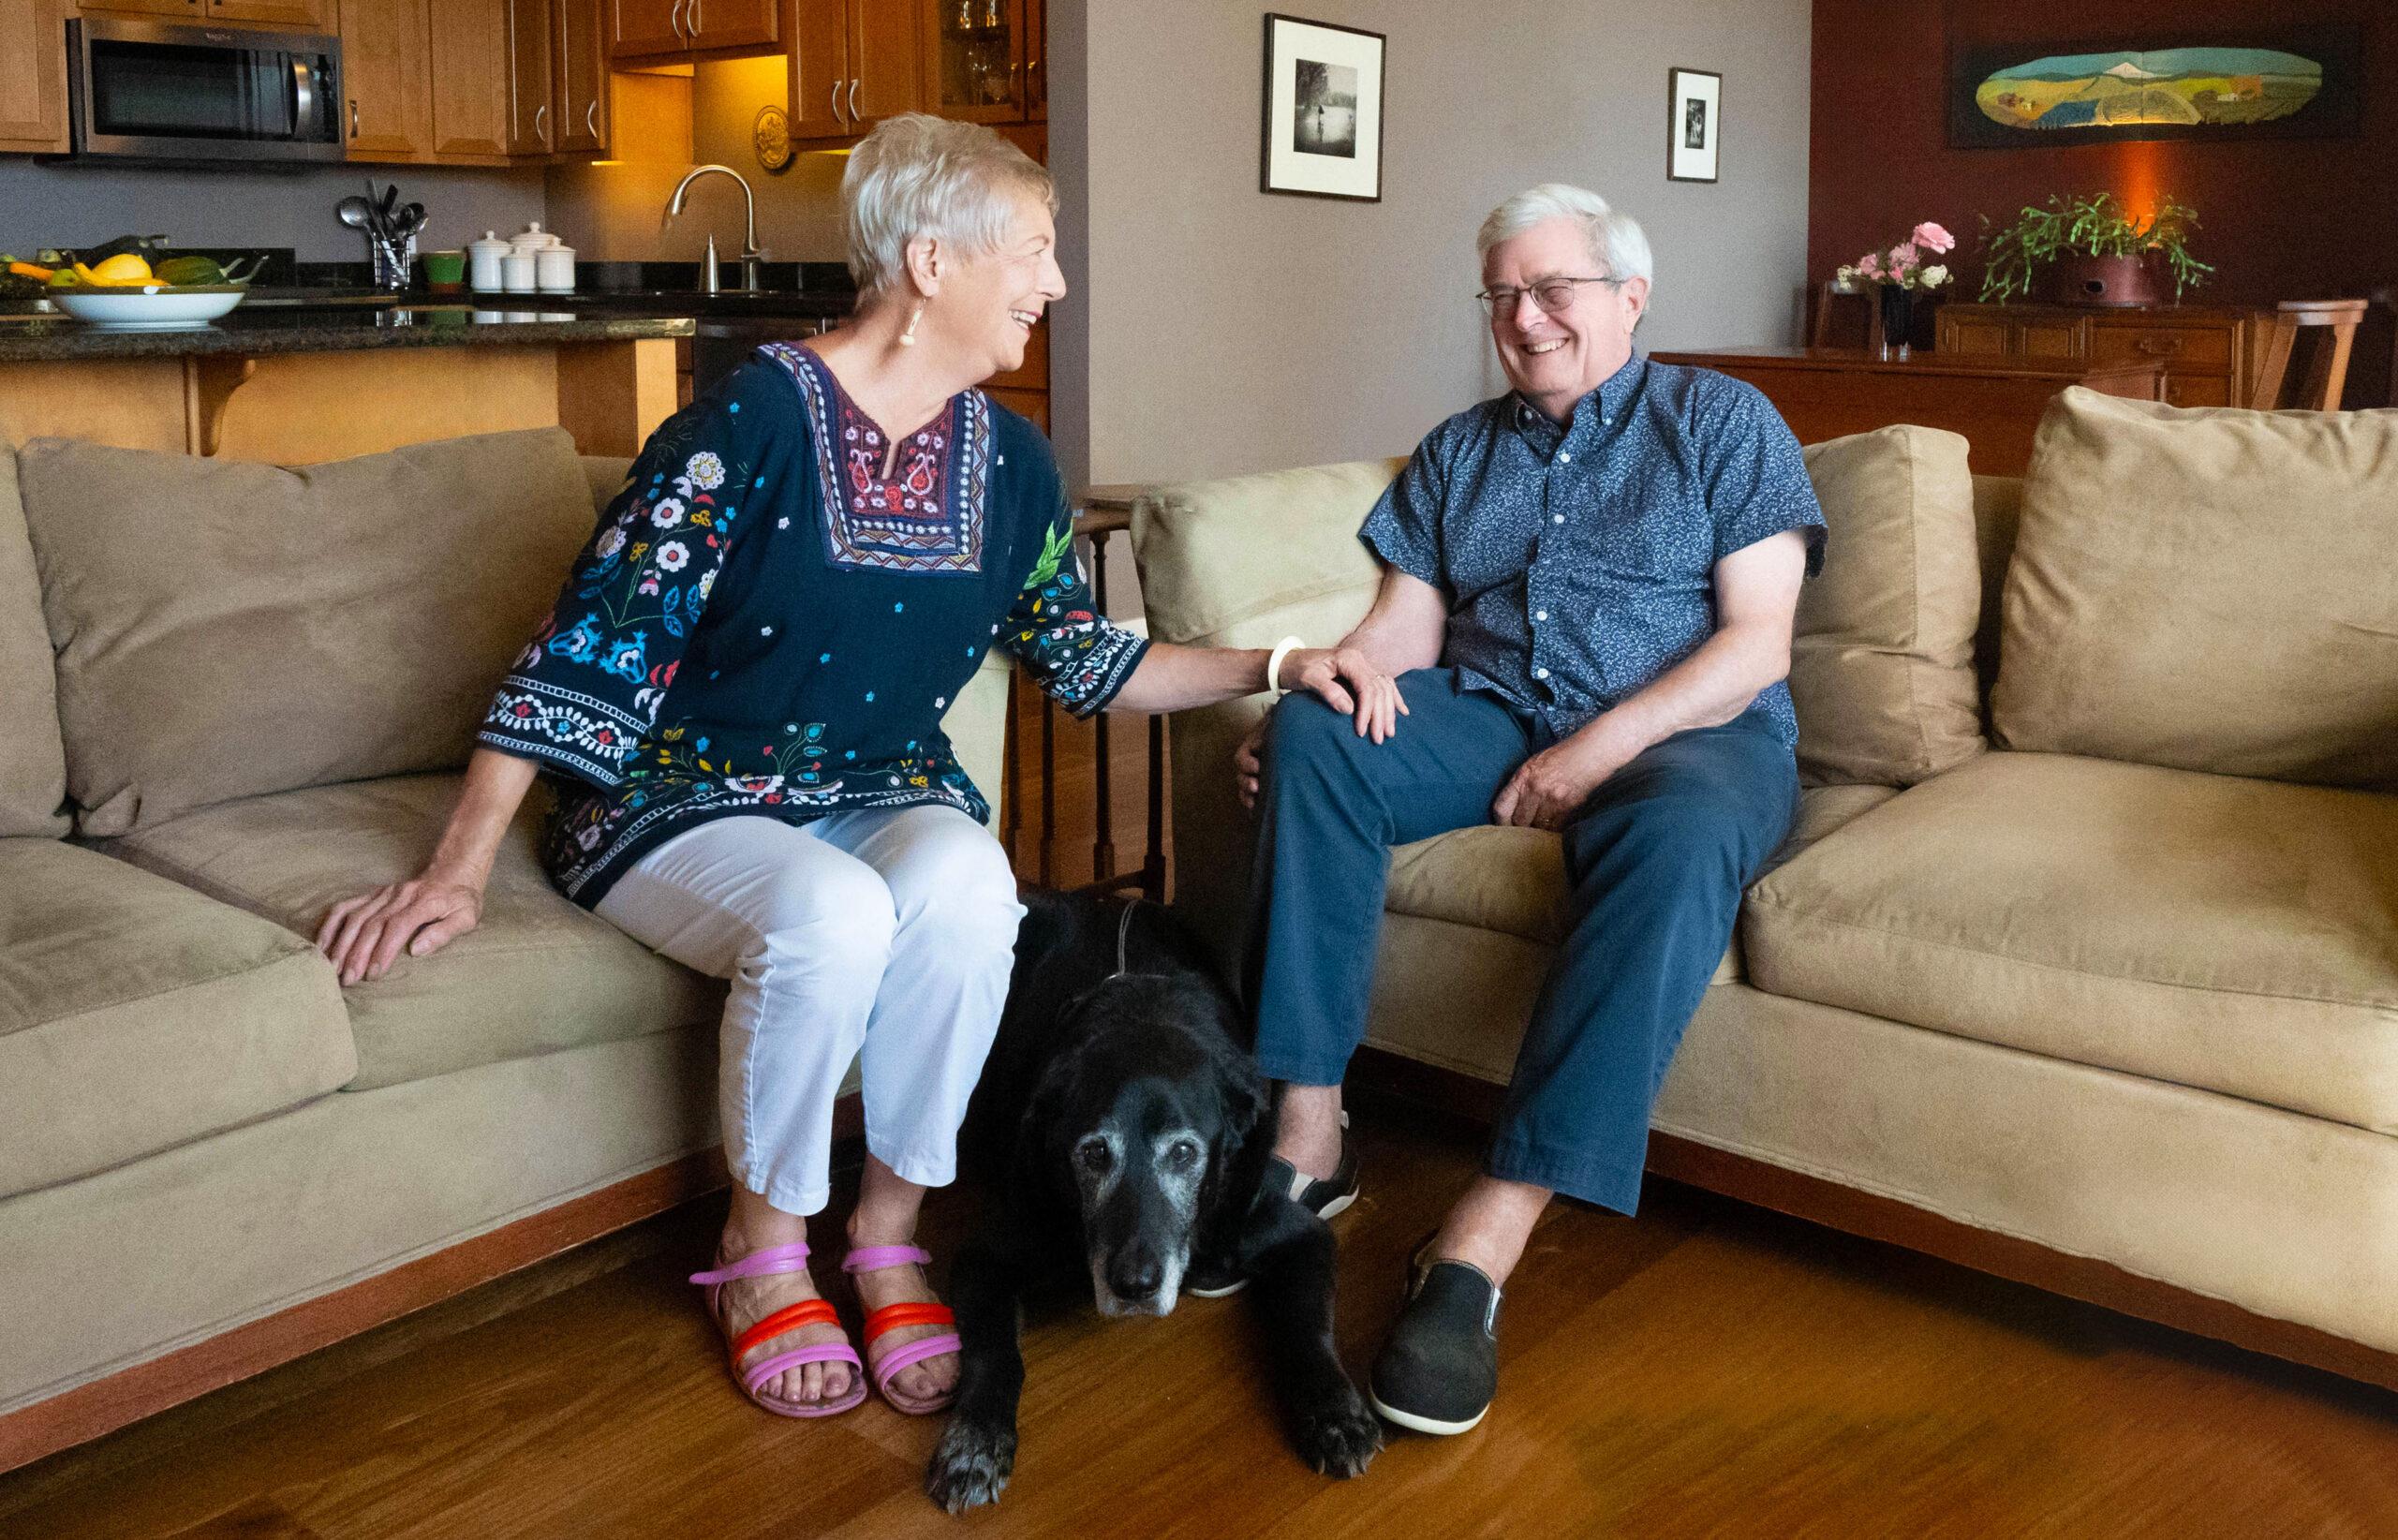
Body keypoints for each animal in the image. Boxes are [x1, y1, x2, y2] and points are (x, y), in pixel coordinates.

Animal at [935, 882, 1390, 1506]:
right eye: (1092, 1153)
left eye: (1183, 1153)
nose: (1135, 1286)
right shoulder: (986, 1255)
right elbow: (993, 1352)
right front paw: (976, 1441)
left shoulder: (1299, 1234)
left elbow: (1308, 1327)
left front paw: (1334, 1414)